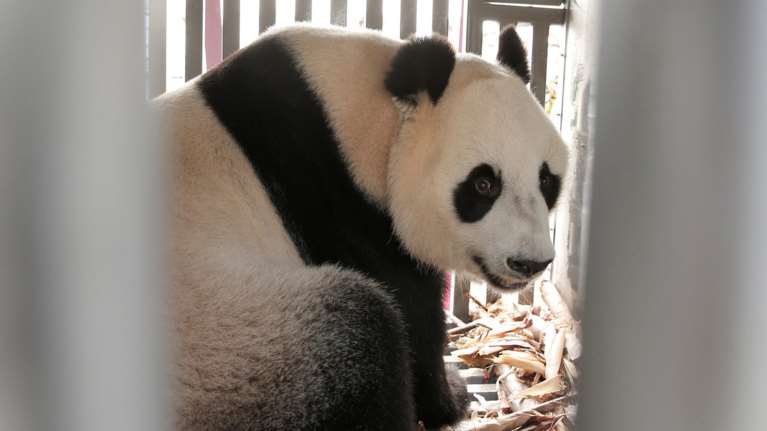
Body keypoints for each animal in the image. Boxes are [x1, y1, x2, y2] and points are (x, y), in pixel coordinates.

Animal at [156, 23, 568, 431]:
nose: (530, 263)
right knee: (363, 332)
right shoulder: (339, 204)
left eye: (547, 180)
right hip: (240, 343)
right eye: (483, 184)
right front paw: (451, 397)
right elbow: (412, 312)